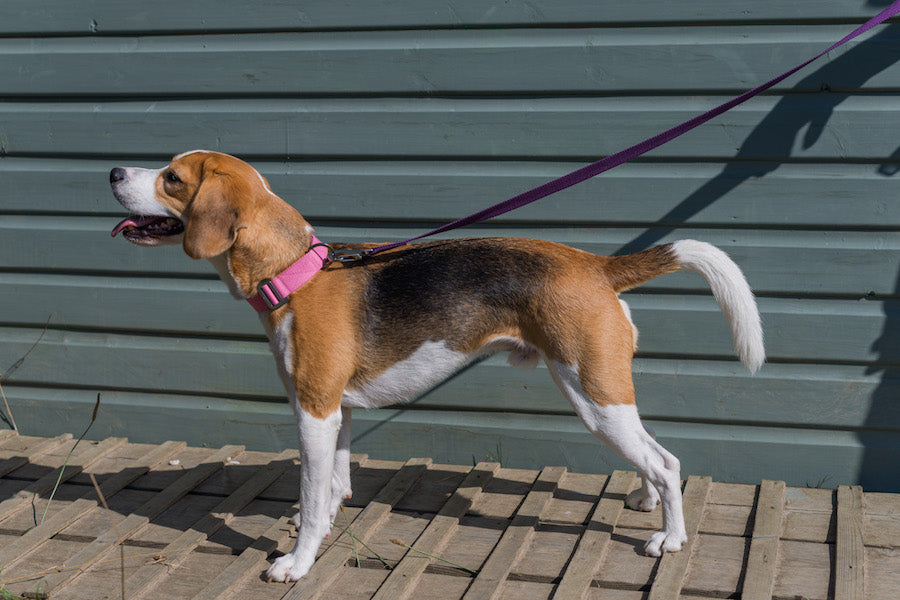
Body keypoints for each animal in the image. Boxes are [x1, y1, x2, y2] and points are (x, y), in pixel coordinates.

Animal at [109, 149, 764, 580]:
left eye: (172, 178)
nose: (113, 172)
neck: (296, 271)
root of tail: (595, 264)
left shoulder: (314, 411)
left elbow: (311, 495)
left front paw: (296, 562)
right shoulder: (337, 411)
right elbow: (333, 487)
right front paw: (327, 519)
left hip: (592, 395)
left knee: (666, 461)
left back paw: (670, 538)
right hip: (604, 391)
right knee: (653, 457)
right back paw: (648, 501)